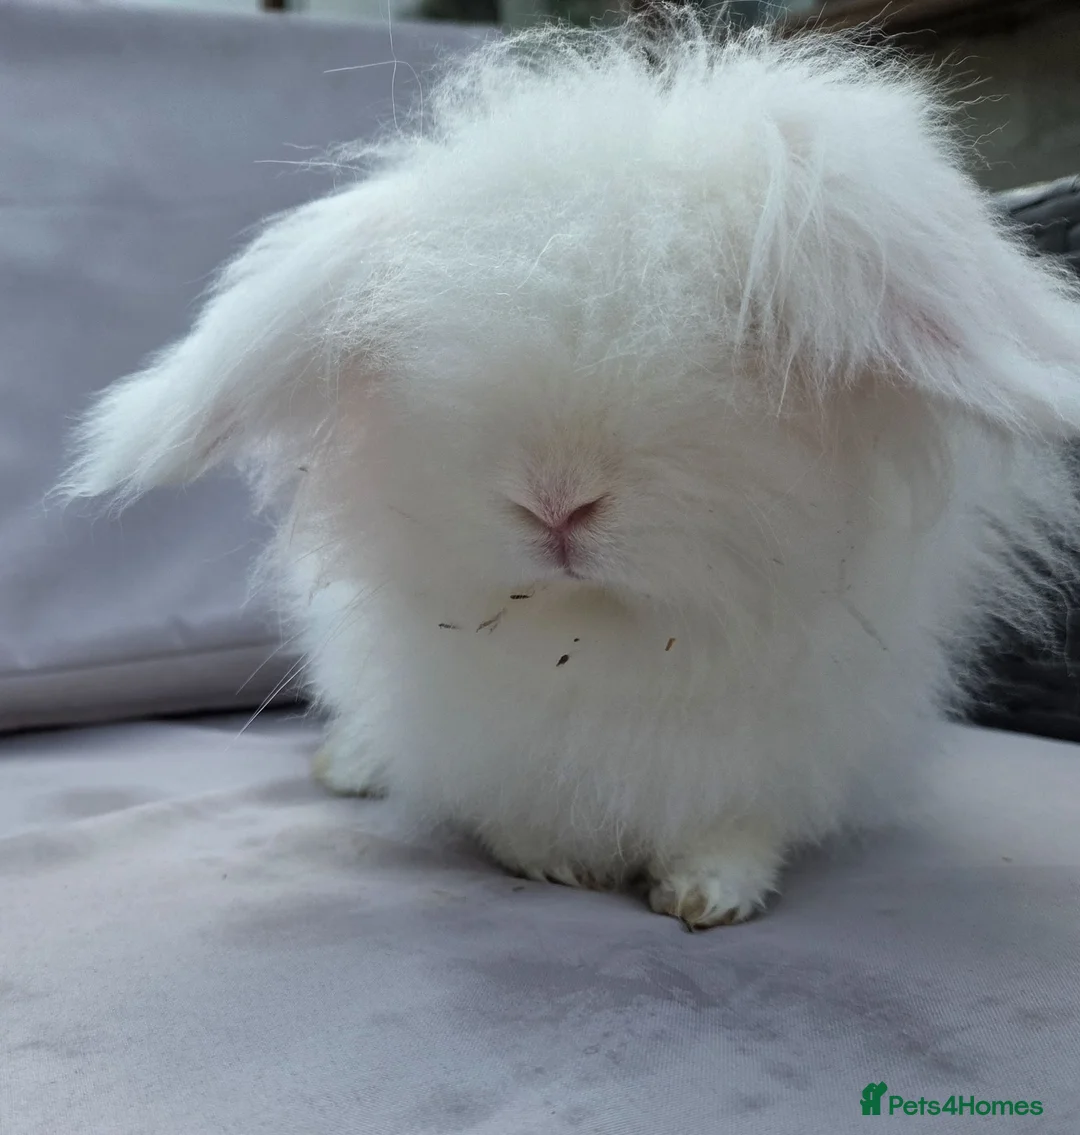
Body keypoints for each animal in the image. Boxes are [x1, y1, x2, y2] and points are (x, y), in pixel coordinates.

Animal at [61, 15, 1080, 928]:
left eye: (751, 336)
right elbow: (514, 815)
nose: (554, 502)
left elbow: (734, 828)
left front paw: (708, 895)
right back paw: (349, 767)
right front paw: (558, 863)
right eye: (421, 336)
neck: (606, 634)